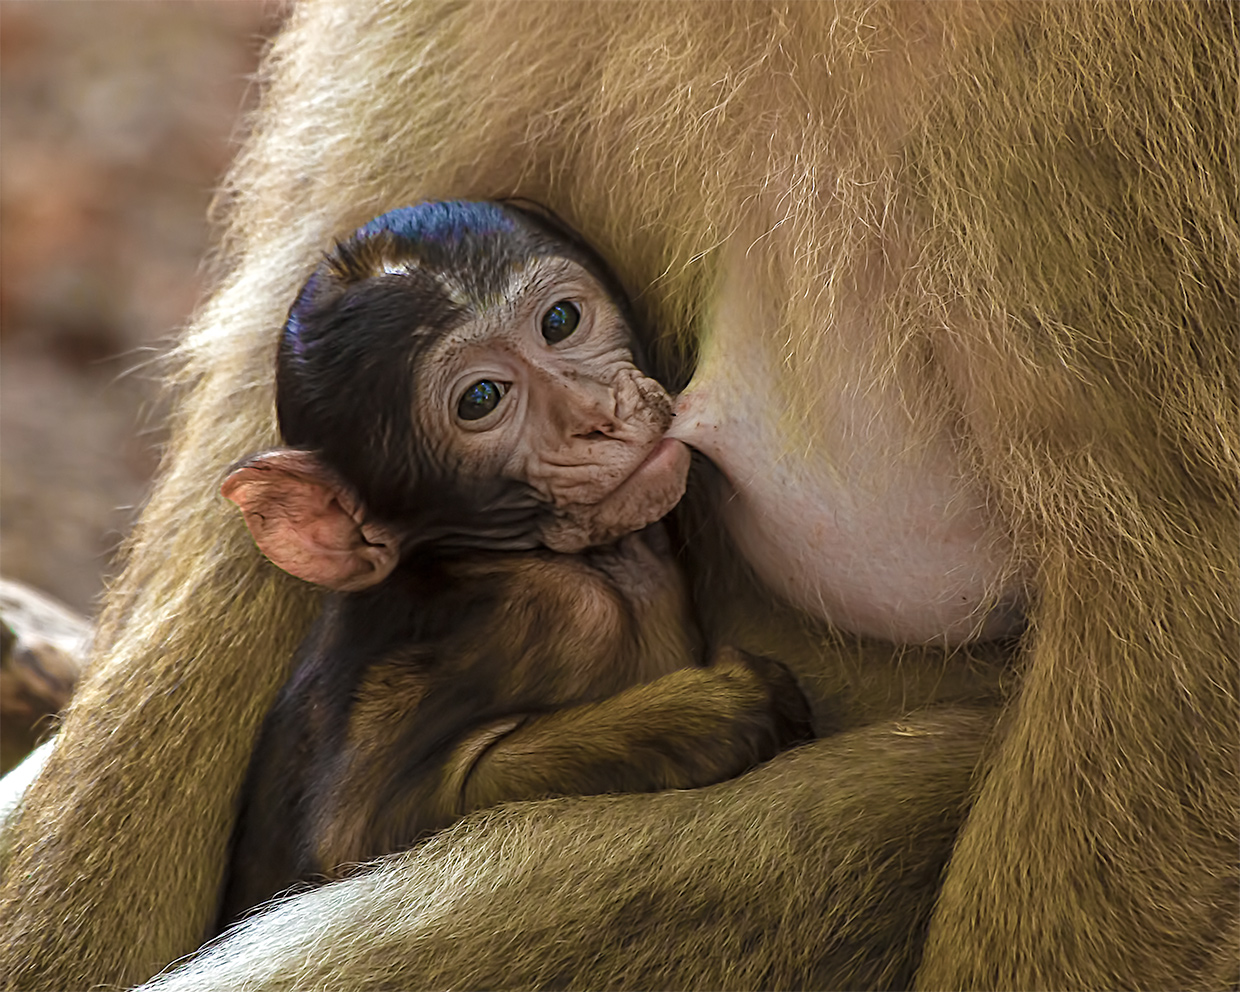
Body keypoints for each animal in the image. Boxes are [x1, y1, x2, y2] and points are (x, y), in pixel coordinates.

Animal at [218, 203, 808, 932]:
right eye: (480, 399)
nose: (597, 416)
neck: (492, 553)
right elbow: (369, 837)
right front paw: (722, 711)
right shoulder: (560, 615)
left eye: (560, 322)